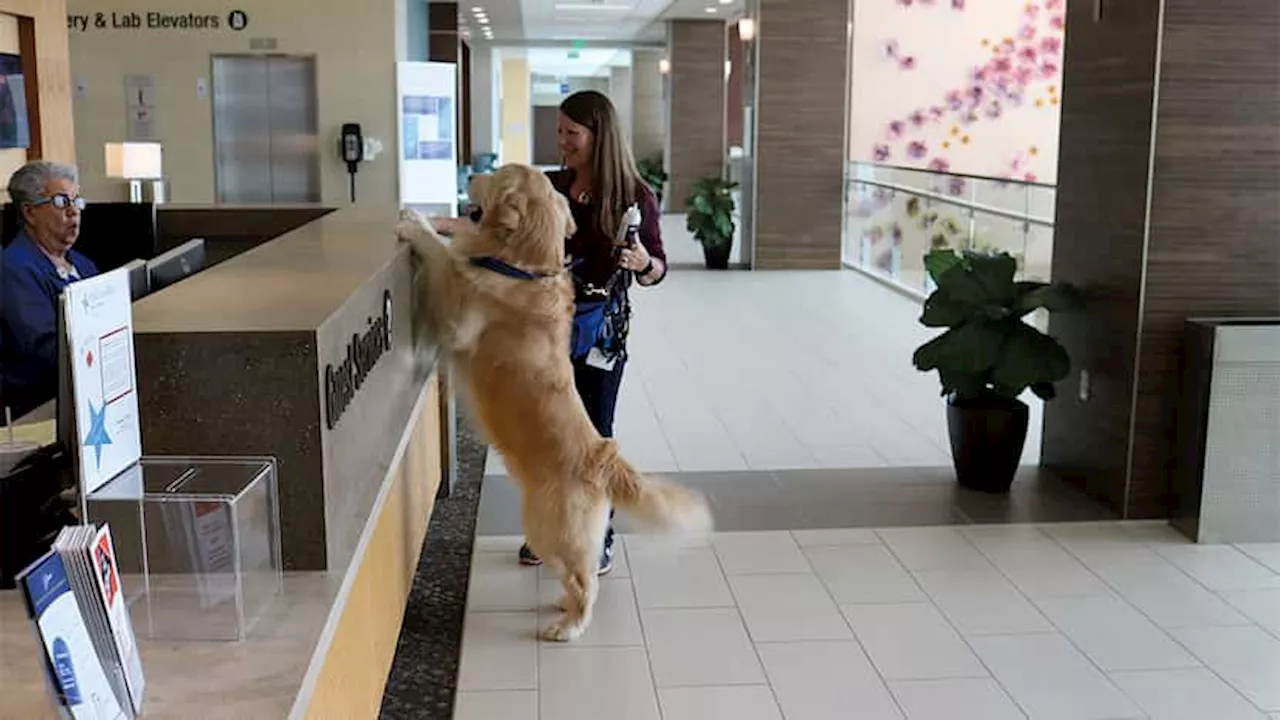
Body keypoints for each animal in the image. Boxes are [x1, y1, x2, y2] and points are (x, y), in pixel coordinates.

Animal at [394, 163, 716, 638]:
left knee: (585, 581)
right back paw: (562, 608)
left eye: (492, 175)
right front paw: (435, 220)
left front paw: (416, 223)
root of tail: (603, 457)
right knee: (573, 575)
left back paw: (569, 627)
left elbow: (442, 257)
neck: (522, 265)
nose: (469, 176)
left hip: (550, 525)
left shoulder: (458, 309)